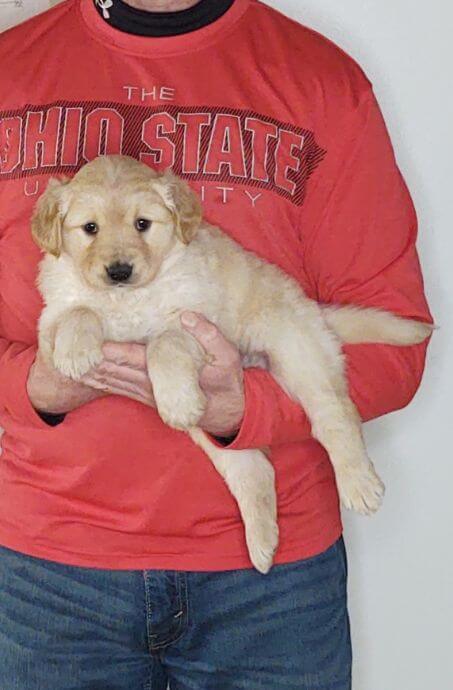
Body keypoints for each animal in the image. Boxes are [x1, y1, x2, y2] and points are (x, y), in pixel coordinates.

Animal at [30, 155, 430, 568]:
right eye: (89, 228)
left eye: (143, 224)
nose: (119, 271)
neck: (126, 299)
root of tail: (315, 313)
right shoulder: (49, 320)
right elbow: (77, 311)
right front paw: (76, 351)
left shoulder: (196, 317)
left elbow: (164, 343)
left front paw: (176, 398)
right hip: (217, 426)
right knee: (254, 468)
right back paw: (263, 543)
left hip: (295, 345)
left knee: (335, 412)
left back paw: (359, 483)